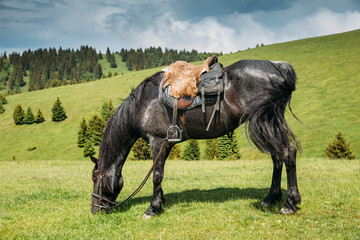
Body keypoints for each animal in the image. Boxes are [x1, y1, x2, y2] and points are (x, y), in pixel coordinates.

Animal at [89, 58, 300, 218]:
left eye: (95, 178)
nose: (95, 210)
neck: (143, 103)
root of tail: (277, 66)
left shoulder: (157, 140)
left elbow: (156, 175)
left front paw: (152, 208)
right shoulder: (167, 143)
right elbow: (160, 174)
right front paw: (161, 201)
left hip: (264, 121)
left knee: (287, 152)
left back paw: (289, 203)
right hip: (268, 123)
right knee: (277, 156)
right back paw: (271, 198)